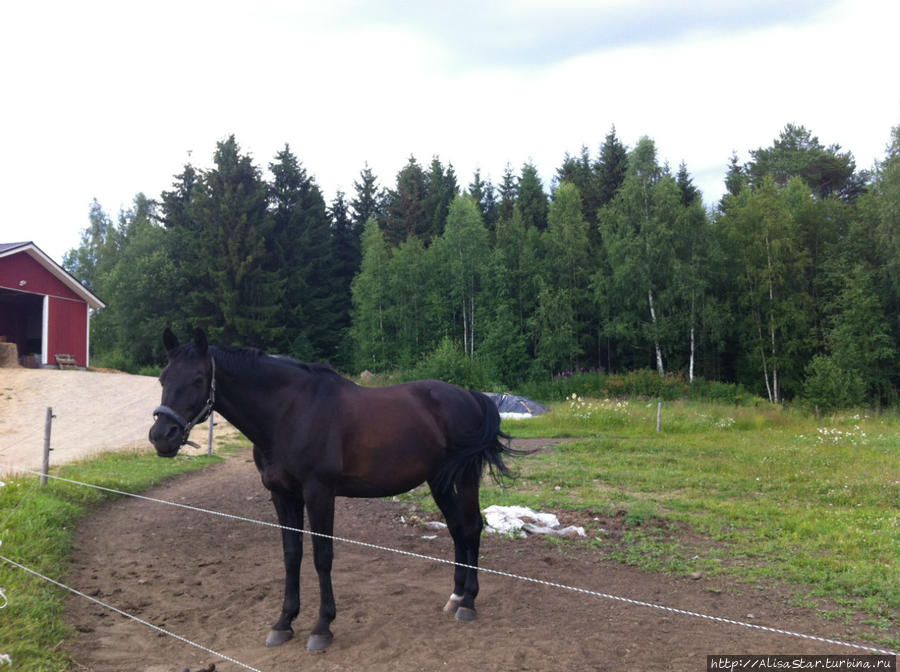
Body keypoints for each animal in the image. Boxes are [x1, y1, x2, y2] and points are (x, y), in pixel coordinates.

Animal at [145, 328, 516, 652]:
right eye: (163, 379)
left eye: (197, 379)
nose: (162, 436)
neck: (289, 413)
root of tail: (470, 395)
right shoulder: (282, 495)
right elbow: (291, 555)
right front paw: (283, 623)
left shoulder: (318, 493)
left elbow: (322, 557)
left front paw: (322, 627)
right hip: (438, 480)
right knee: (456, 529)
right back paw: (455, 597)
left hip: (464, 478)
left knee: (471, 527)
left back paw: (469, 602)